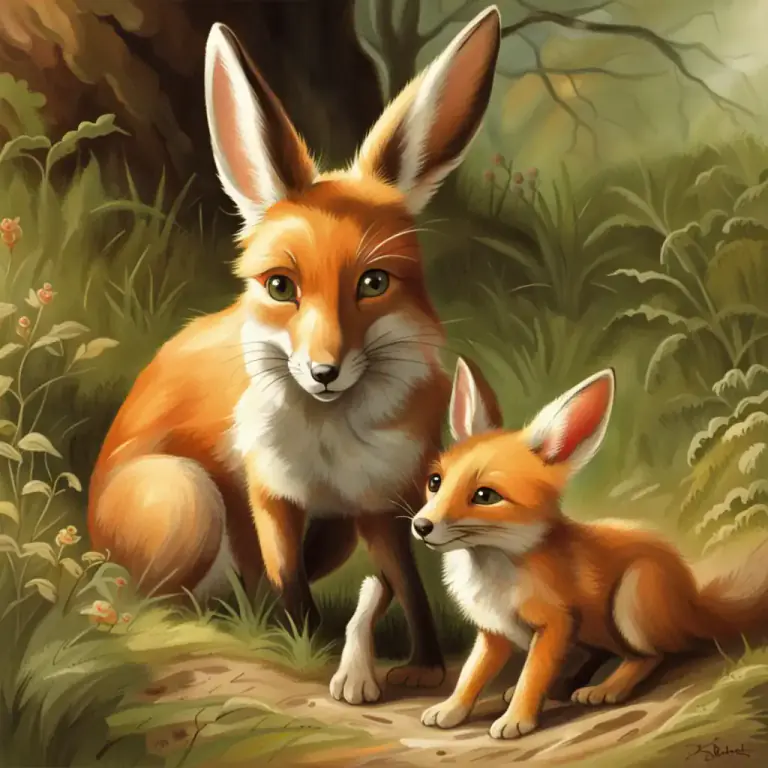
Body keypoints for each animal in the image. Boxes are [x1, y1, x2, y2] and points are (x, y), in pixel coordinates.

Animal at [87, 8, 504, 705]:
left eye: (373, 283)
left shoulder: (381, 502)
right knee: (155, 603)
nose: (324, 372)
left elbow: (408, 585)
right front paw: (312, 653)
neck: (332, 444)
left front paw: (421, 666)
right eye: (281, 287)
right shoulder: (270, 489)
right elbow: (291, 585)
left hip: (329, 531)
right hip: (187, 498)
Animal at [410, 359, 768, 739]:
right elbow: (471, 675)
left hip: (630, 600)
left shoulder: (555, 624)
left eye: (484, 496)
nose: (421, 526)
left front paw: (516, 719)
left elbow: (531, 676)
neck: (495, 568)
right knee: (599, 655)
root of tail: (693, 600)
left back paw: (606, 689)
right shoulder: (494, 632)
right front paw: (452, 709)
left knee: (652, 655)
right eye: (435, 482)